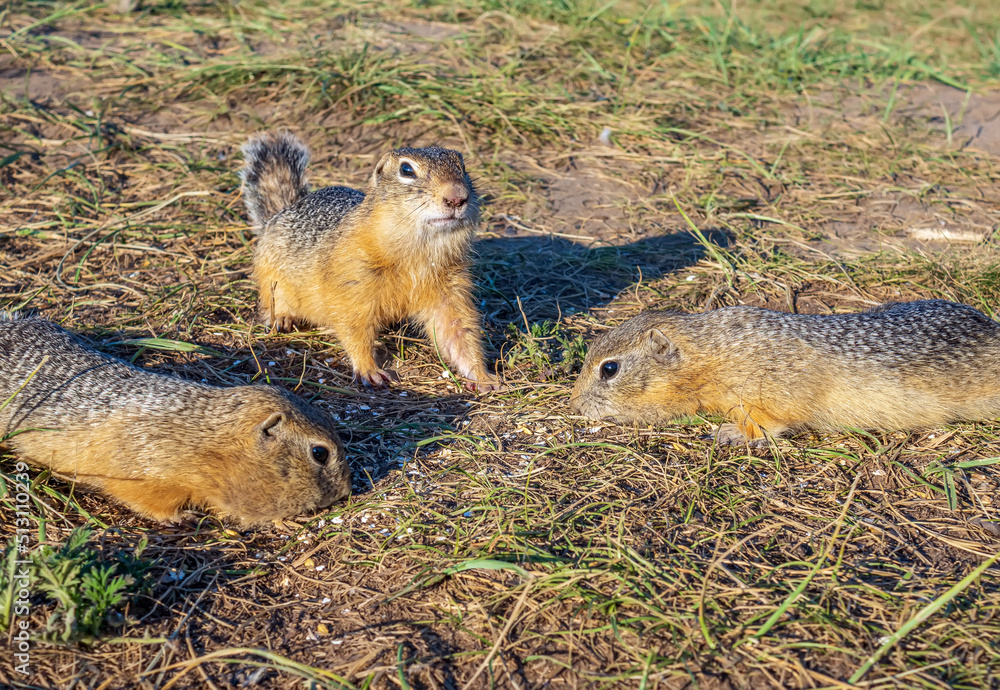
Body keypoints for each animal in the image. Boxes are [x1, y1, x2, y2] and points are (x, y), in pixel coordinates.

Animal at [235, 127, 500, 388]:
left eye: (462, 167)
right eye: (406, 170)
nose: (457, 196)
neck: (418, 252)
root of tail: (284, 209)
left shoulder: (450, 291)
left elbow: (458, 332)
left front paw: (483, 377)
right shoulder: (352, 284)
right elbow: (355, 329)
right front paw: (369, 369)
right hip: (271, 272)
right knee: (273, 297)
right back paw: (283, 317)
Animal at [572, 298, 1000, 444]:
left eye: (609, 369)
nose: (574, 404)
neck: (711, 357)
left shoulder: (770, 394)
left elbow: (771, 425)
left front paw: (731, 434)